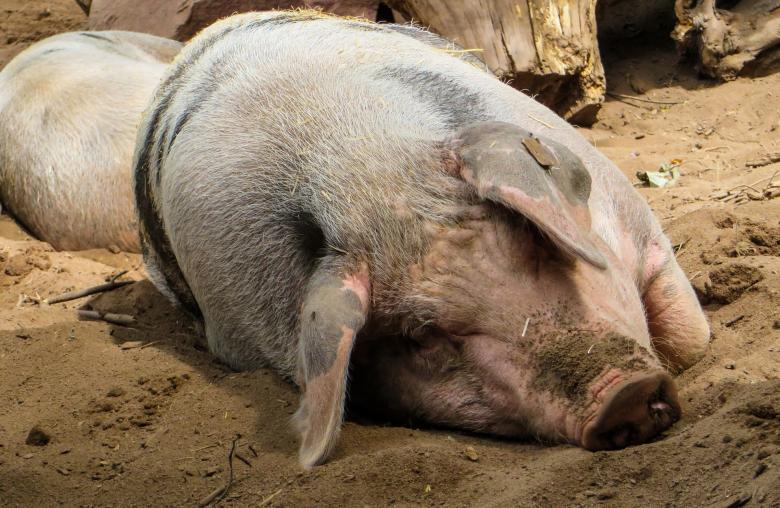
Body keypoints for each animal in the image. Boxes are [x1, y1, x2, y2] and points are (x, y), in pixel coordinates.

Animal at [133, 11, 711, 468]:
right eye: (421, 336)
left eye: (530, 240)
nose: (624, 395)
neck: (361, 171)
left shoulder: (633, 217)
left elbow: (690, 338)